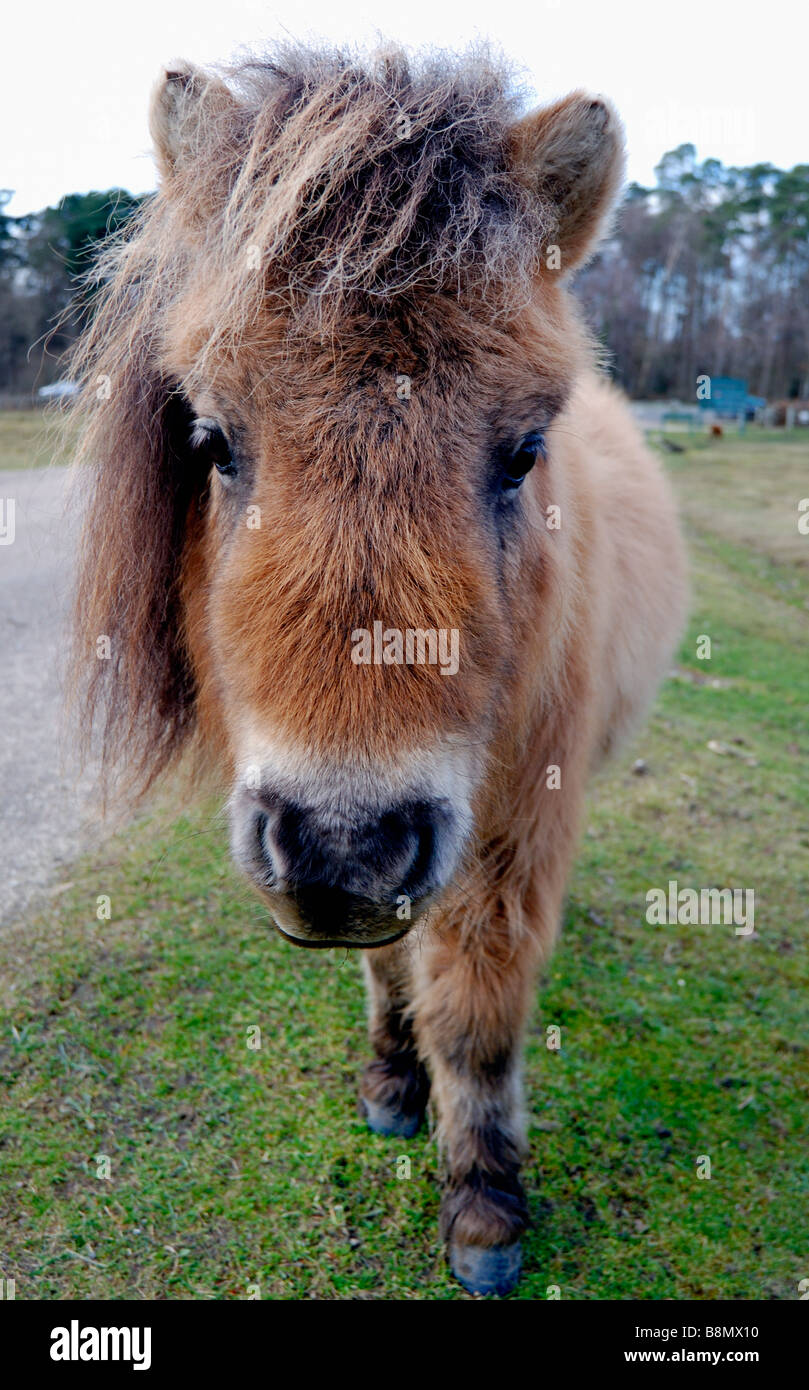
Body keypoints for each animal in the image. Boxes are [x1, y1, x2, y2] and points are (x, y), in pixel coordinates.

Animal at [72, 46, 689, 1301]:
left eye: (524, 450)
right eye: (210, 439)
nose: (342, 847)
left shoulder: (506, 832)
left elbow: (477, 1011)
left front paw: (485, 1208)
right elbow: (391, 971)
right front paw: (392, 1084)